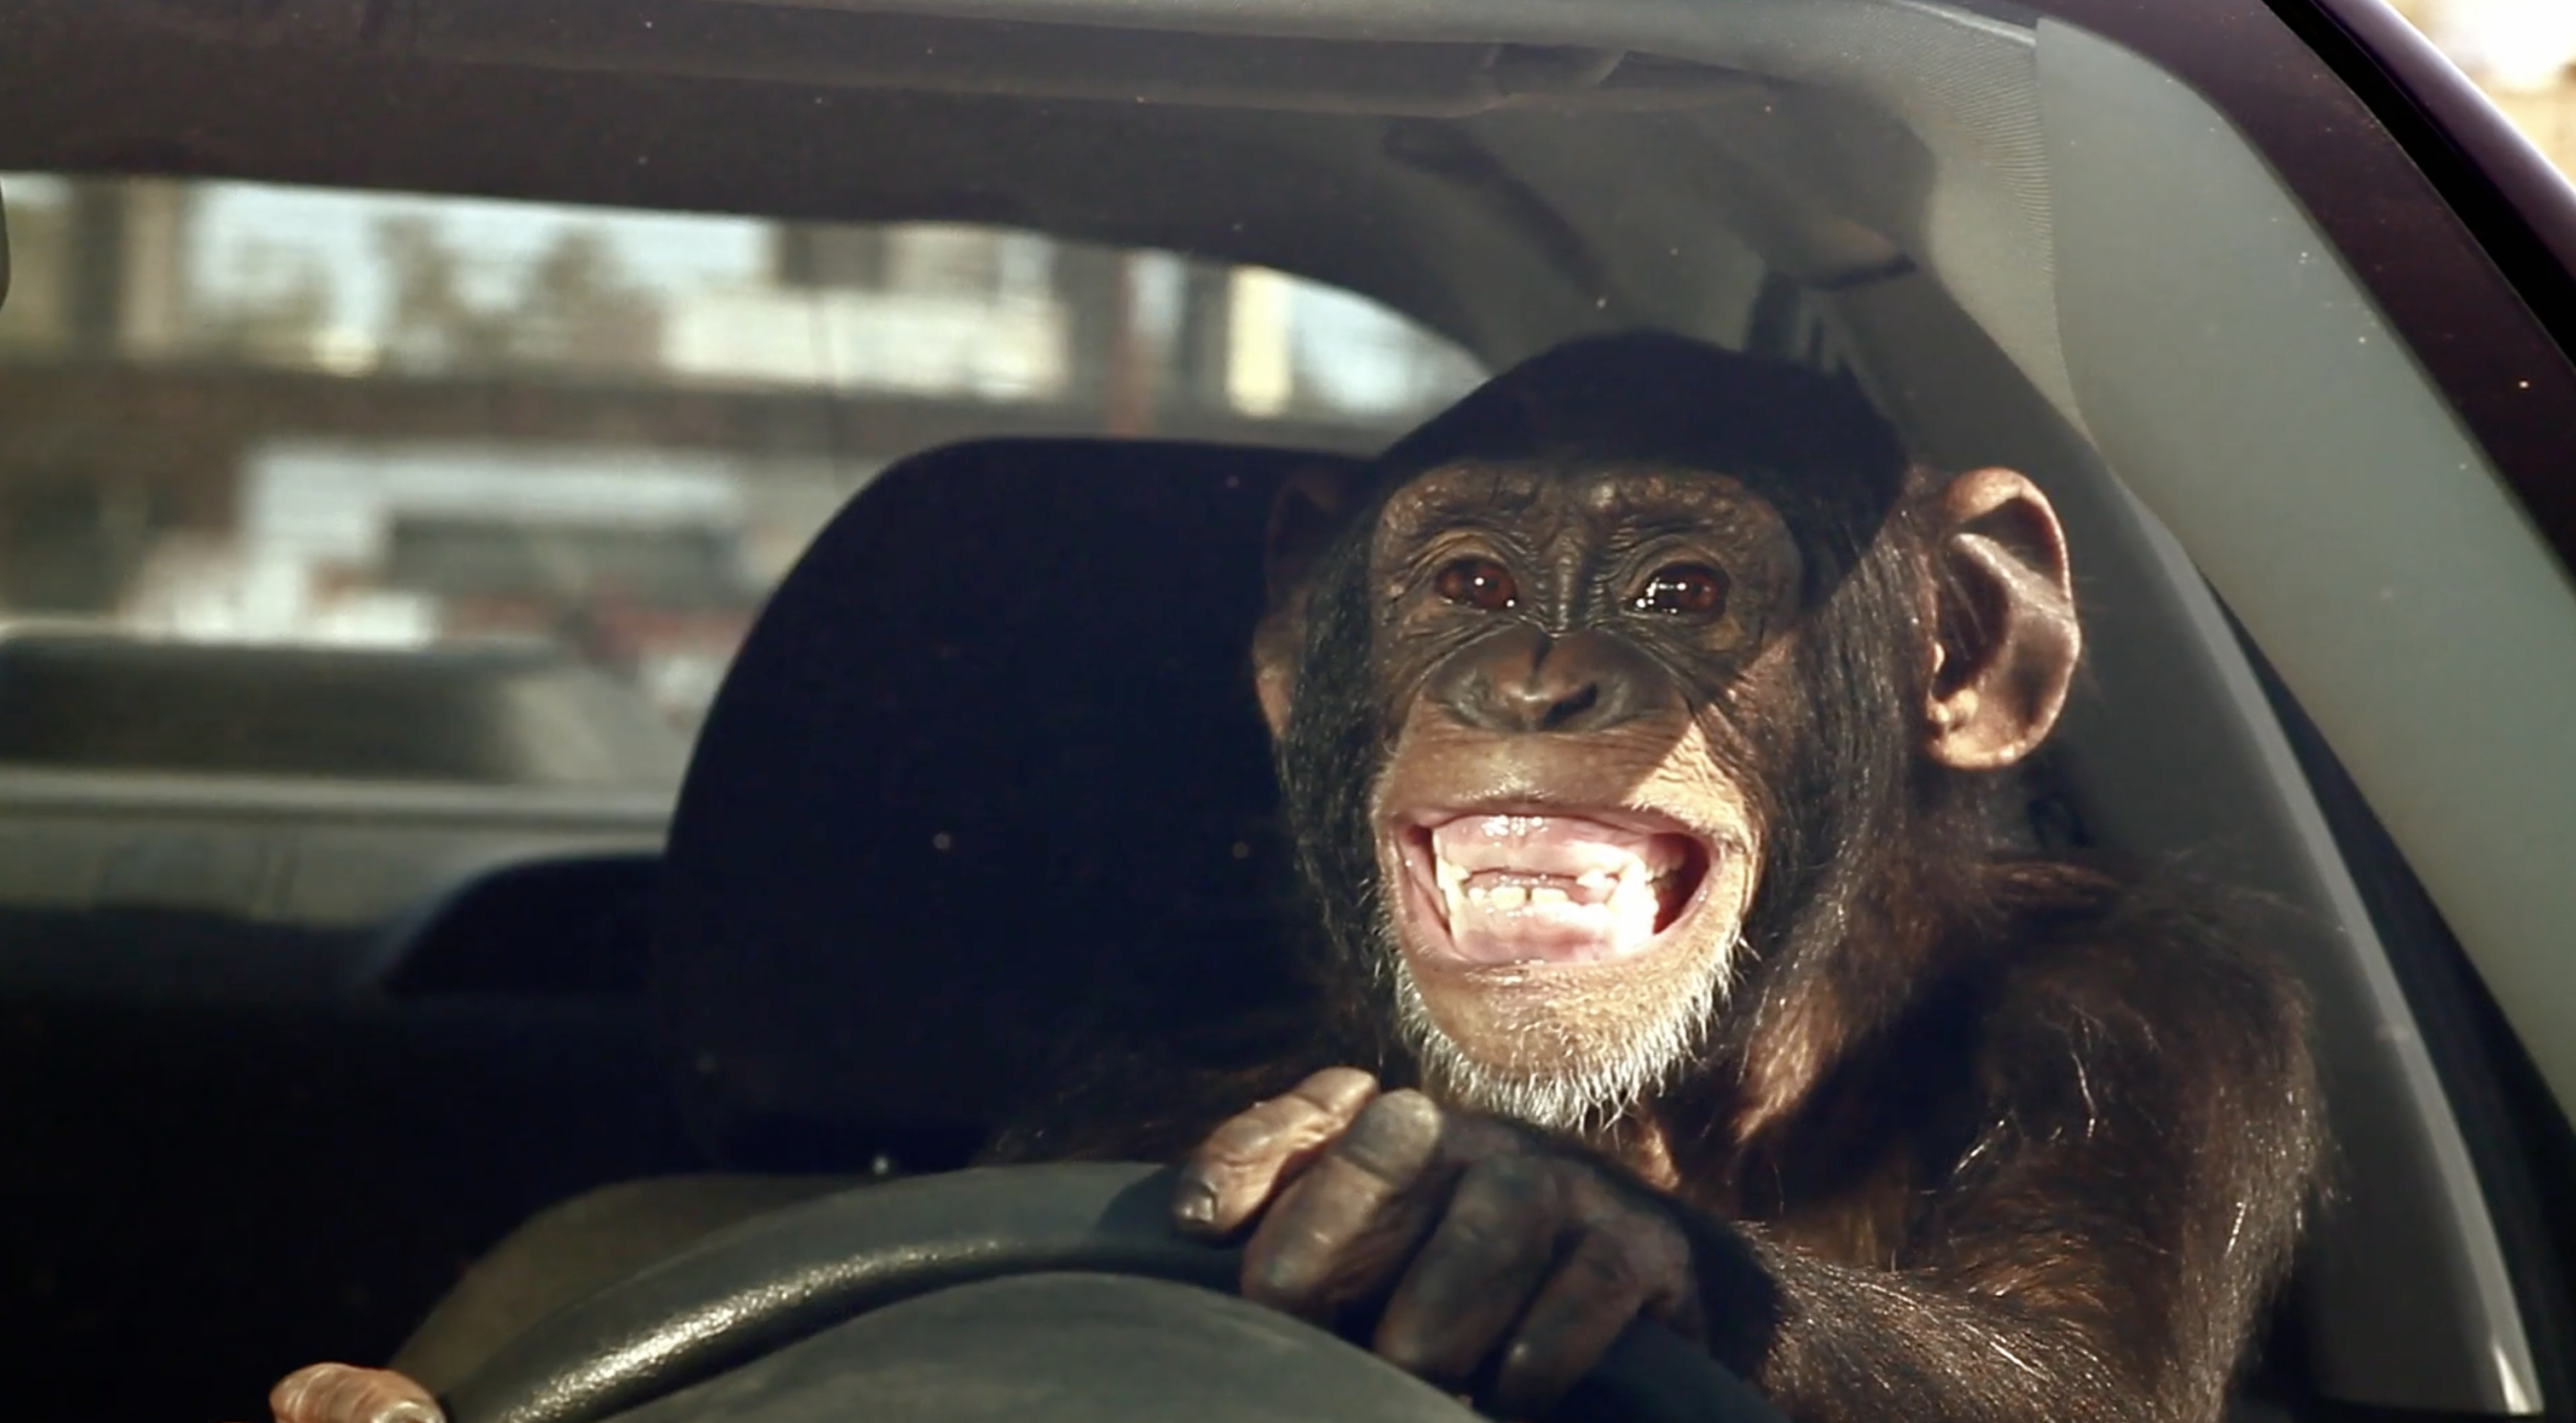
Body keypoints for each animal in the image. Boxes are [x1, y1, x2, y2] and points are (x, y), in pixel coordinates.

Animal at [245, 333, 2323, 1423]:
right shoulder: (1163, 1048)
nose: (1541, 680)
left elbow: (2074, 1376)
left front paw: (1525, 1220)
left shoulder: (2165, 1015)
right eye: (1471, 580)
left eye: (1680, 589)